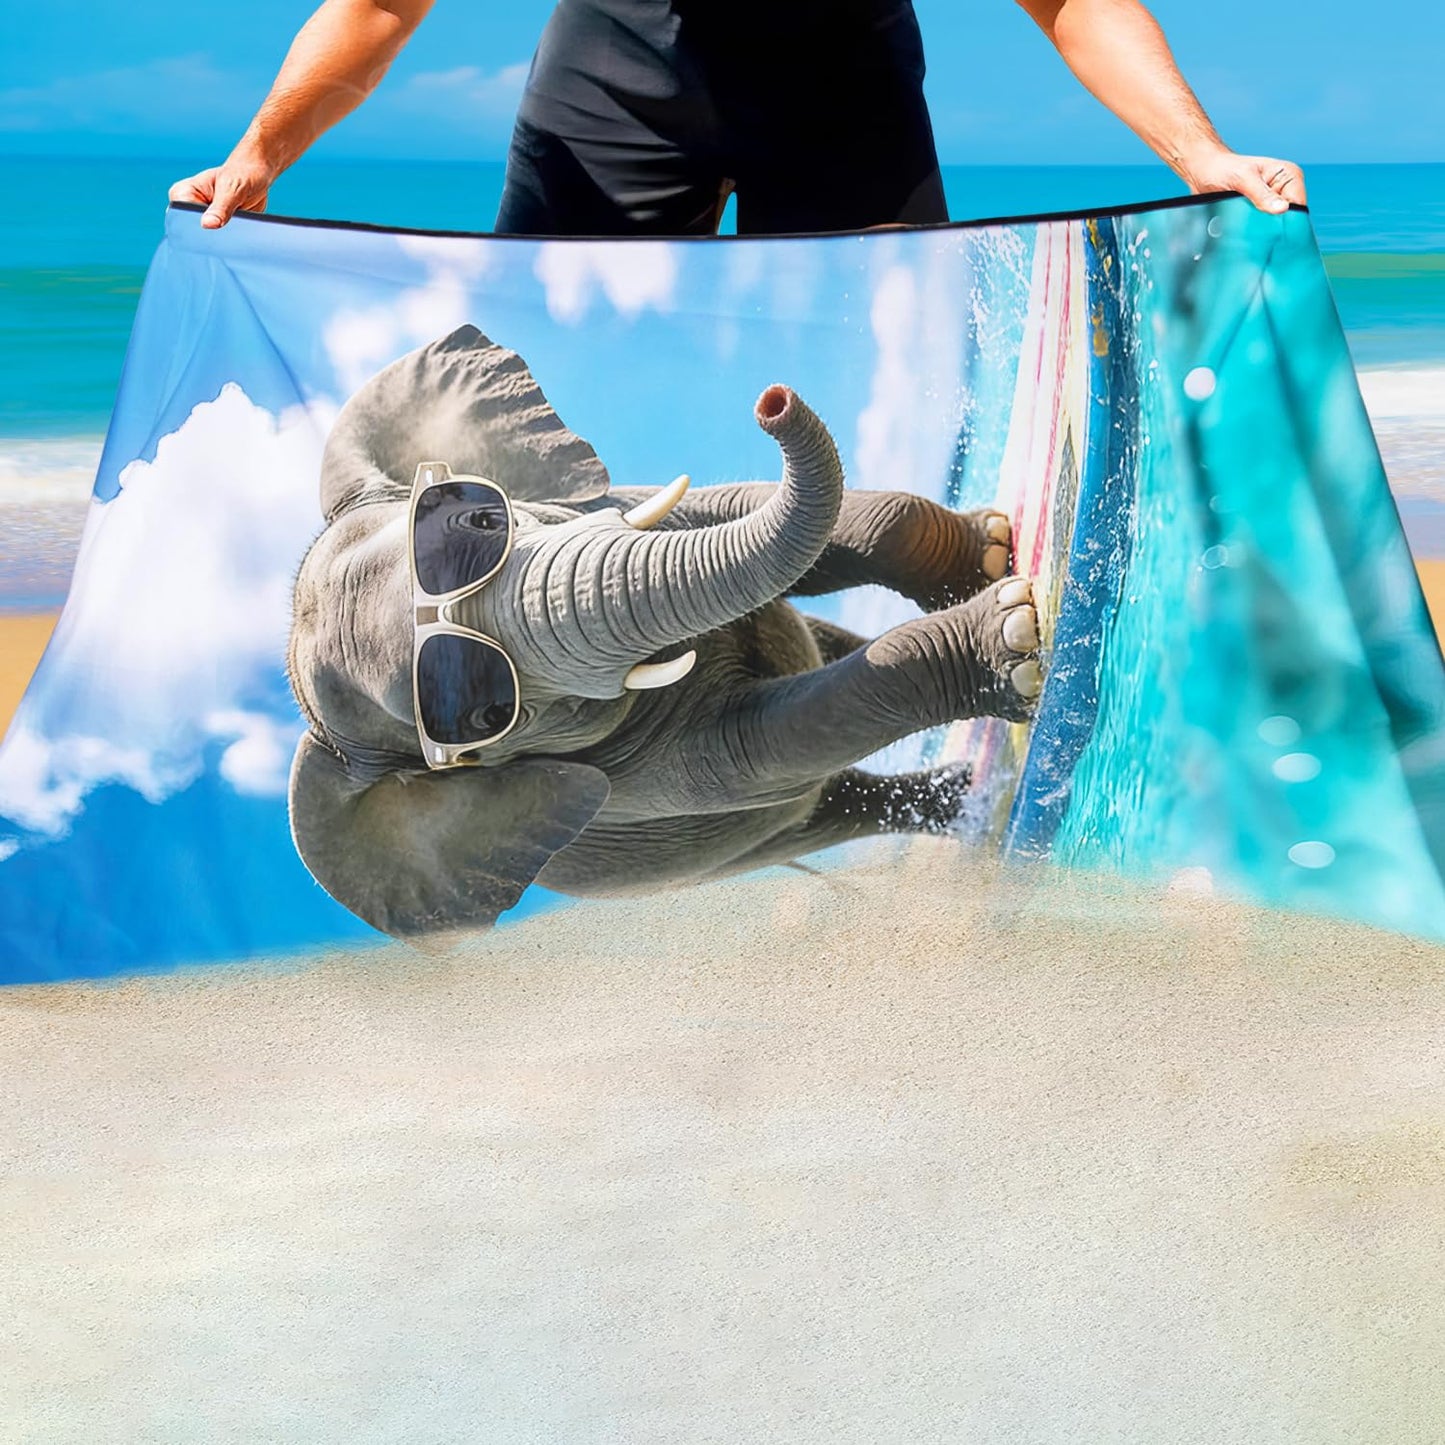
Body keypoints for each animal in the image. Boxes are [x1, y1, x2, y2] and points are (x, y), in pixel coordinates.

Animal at [286, 324, 1043, 941]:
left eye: (483, 519)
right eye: (486, 716)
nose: (772, 401)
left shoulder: (605, 506)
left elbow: (738, 510)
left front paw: (987, 559)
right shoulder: (637, 777)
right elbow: (768, 742)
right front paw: (1015, 631)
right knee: (832, 800)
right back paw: (963, 804)